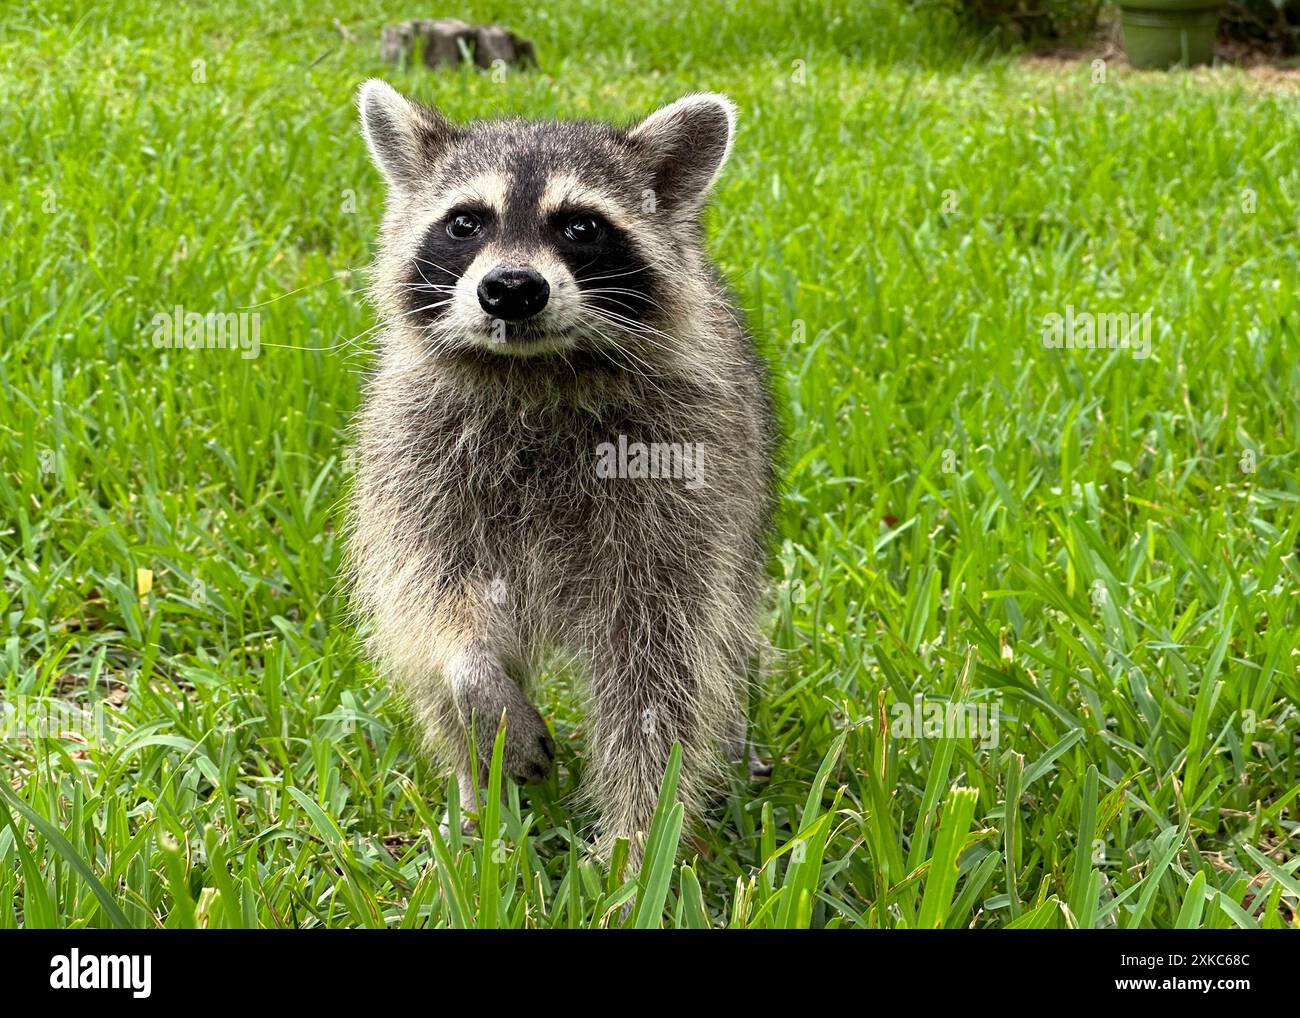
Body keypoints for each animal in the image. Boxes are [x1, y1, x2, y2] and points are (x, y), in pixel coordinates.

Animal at [340, 79, 774, 863]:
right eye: (465, 222)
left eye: (580, 226)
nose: (512, 287)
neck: (535, 372)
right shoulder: (413, 461)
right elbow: (432, 604)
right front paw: (478, 686)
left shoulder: (682, 480)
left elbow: (660, 674)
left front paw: (639, 836)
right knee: (428, 677)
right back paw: (475, 801)